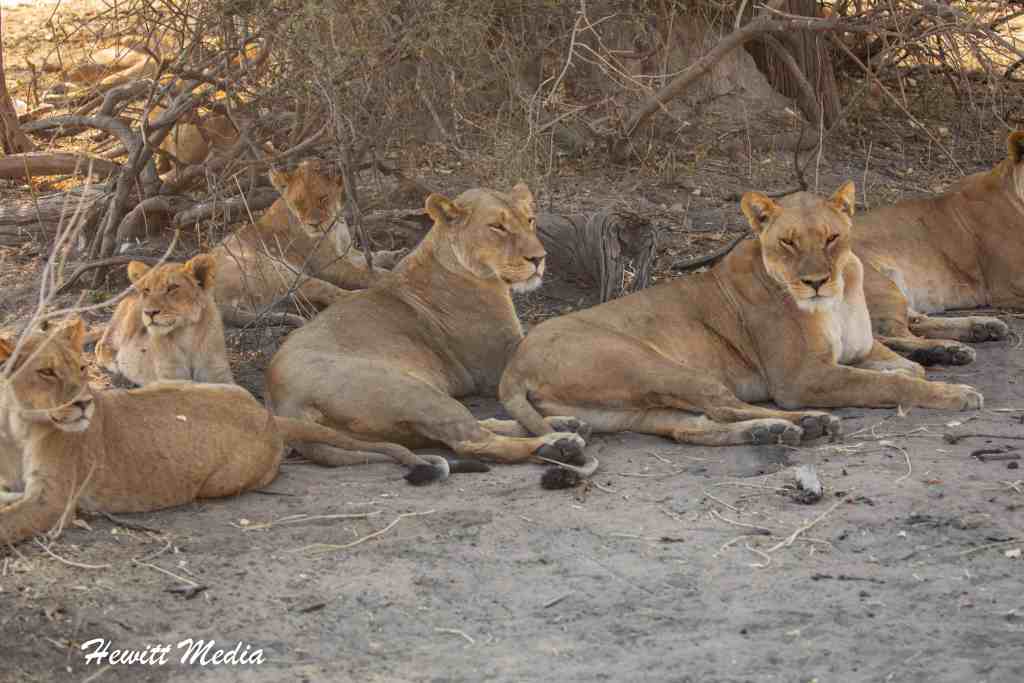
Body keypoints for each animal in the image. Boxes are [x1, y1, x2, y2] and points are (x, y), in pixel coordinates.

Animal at [95, 254, 234, 386]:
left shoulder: (218, 373)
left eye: (172, 287)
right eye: (147, 289)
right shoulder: (171, 378)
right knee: (101, 344)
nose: (149, 312)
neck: (187, 336)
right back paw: (115, 364)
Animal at [211, 159, 405, 327]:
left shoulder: (345, 251)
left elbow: (370, 257)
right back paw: (359, 296)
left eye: (323, 198)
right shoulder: (328, 265)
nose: (314, 224)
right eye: (299, 203)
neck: (334, 223)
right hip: (282, 273)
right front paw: (388, 275)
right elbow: (364, 272)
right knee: (331, 293)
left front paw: (396, 255)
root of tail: (218, 302)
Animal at [266, 183, 591, 484]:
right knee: (473, 442)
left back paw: (565, 425)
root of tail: (284, 401)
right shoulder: (499, 363)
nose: (539, 259)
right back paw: (558, 443)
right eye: (497, 227)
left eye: (530, 220)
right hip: (414, 392)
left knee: (469, 428)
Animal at [498, 182, 982, 469]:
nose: (815, 281)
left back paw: (773, 431)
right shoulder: (800, 378)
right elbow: (891, 384)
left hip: (634, 407)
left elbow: (905, 367)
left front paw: (928, 366)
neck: (840, 294)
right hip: (657, 368)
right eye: (788, 242)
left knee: (691, 428)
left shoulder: (859, 350)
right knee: (725, 407)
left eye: (831, 237)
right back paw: (808, 423)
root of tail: (514, 364)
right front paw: (954, 393)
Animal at [853, 131, 1023, 366]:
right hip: (879, 286)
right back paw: (945, 350)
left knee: (914, 322)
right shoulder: (1010, 283)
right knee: (885, 336)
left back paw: (983, 327)